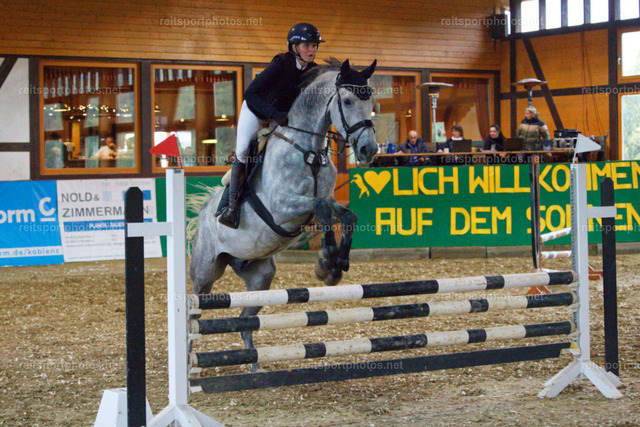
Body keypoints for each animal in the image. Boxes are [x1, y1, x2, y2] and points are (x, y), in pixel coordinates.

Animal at [189, 58, 378, 371]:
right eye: (348, 101)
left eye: (372, 101)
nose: (368, 150)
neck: (308, 150)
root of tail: (203, 213)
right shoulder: (283, 206)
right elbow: (322, 209)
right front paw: (326, 261)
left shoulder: (324, 201)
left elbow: (344, 216)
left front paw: (335, 265)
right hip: (205, 273)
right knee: (193, 313)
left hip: (260, 276)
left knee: (245, 320)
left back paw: (254, 366)